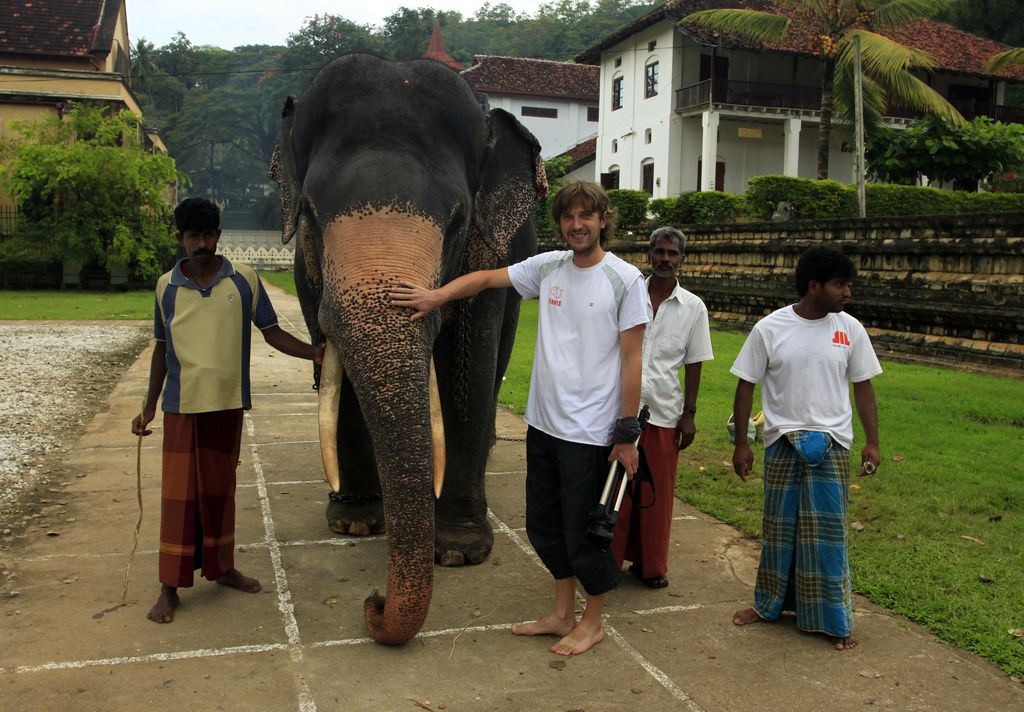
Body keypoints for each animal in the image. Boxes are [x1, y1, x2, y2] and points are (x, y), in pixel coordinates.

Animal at [268, 54, 548, 647]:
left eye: (457, 221)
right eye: (310, 216)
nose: (372, 604)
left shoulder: (488, 255)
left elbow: (468, 362)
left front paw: (459, 550)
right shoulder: (307, 273)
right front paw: (354, 522)